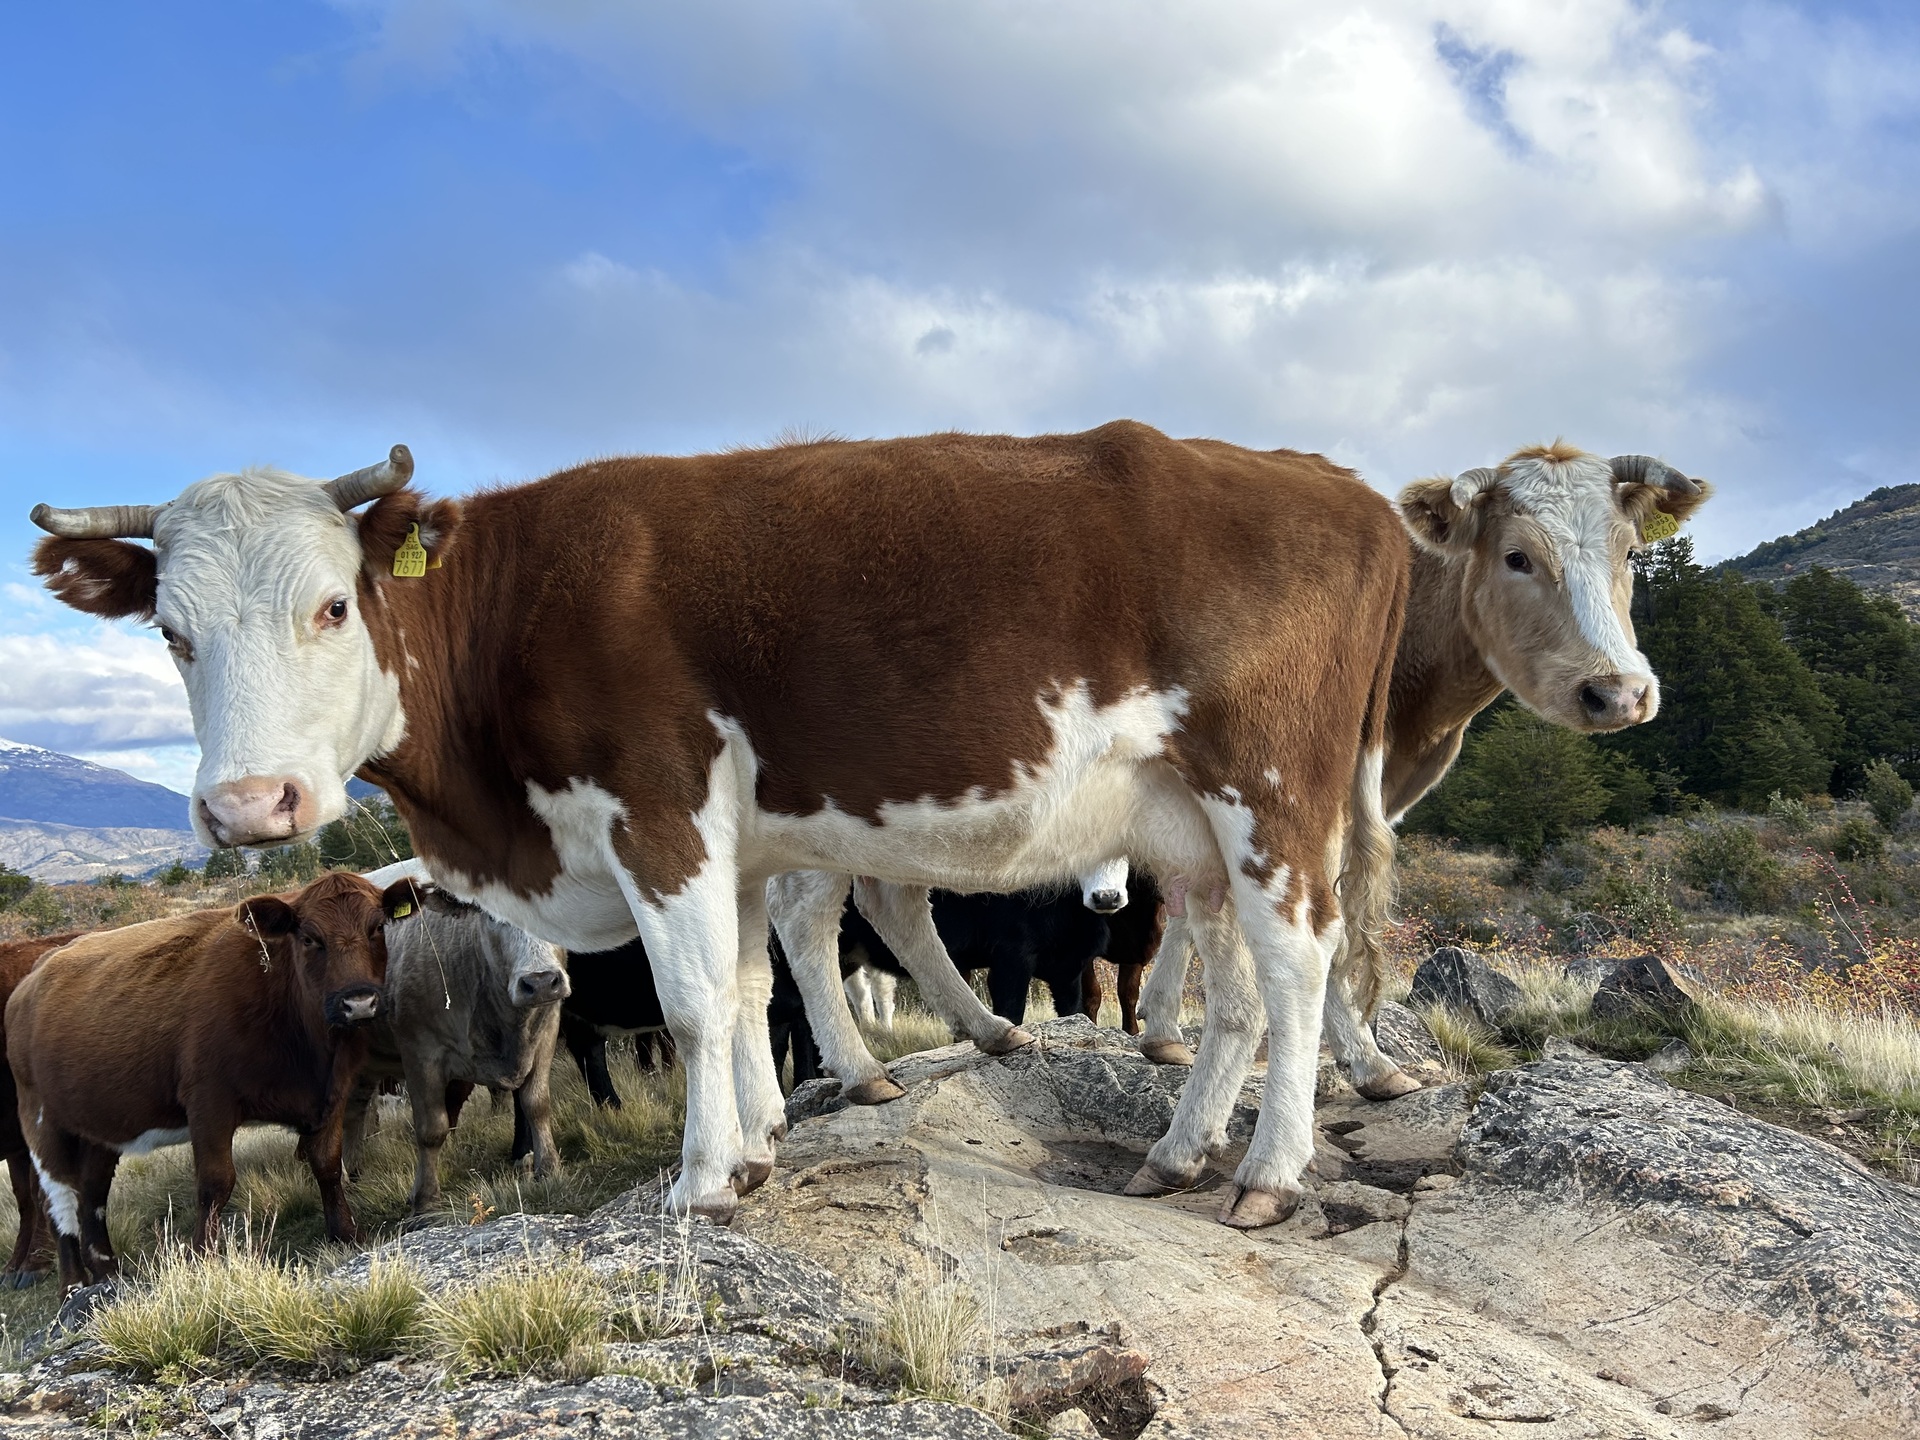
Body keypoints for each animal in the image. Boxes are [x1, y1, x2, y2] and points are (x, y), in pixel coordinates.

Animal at [6, 873, 412, 1288]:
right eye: (310, 938)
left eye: (377, 928)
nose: (358, 1002)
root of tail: (31, 980)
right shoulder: (209, 1103)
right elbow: (216, 1183)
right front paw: (203, 1259)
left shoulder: (332, 1094)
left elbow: (329, 1165)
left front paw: (346, 1233)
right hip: (41, 1122)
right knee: (57, 1200)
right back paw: (71, 1284)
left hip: (99, 1128)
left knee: (92, 1195)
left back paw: (109, 1272)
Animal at [341, 861, 570, 1215]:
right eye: (494, 914)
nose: (541, 981)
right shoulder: (420, 1053)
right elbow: (431, 1129)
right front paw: (425, 1198)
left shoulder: (547, 1029)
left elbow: (537, 1104)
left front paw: (548, 1168)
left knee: (357, 1108)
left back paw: (354, 1173)